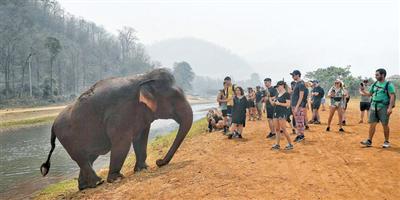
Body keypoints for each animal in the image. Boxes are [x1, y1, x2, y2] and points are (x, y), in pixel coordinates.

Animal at [39, 69, 193, 191]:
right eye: (175, 97)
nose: (159, 161)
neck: (144, 77)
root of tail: (53, 125)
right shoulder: (121, 113)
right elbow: (122, 143)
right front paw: (116, 178)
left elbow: (141, 138)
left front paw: (143, 169)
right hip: (68, 138)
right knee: (82, 157)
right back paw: (98, 182)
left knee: (89, 157)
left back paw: (85, 187)